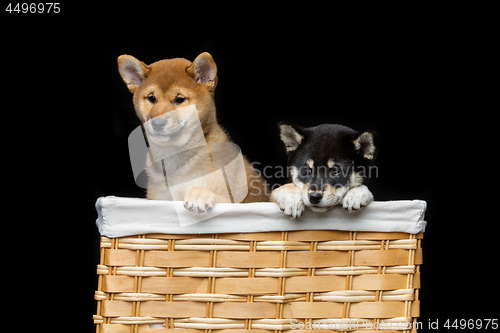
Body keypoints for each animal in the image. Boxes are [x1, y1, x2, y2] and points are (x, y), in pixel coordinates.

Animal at [118, 52, 270, 213]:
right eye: (152, 98)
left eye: (179, 99)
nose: (157, 124)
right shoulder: (158, 199)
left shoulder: (232, 199)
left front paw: (199, 194)